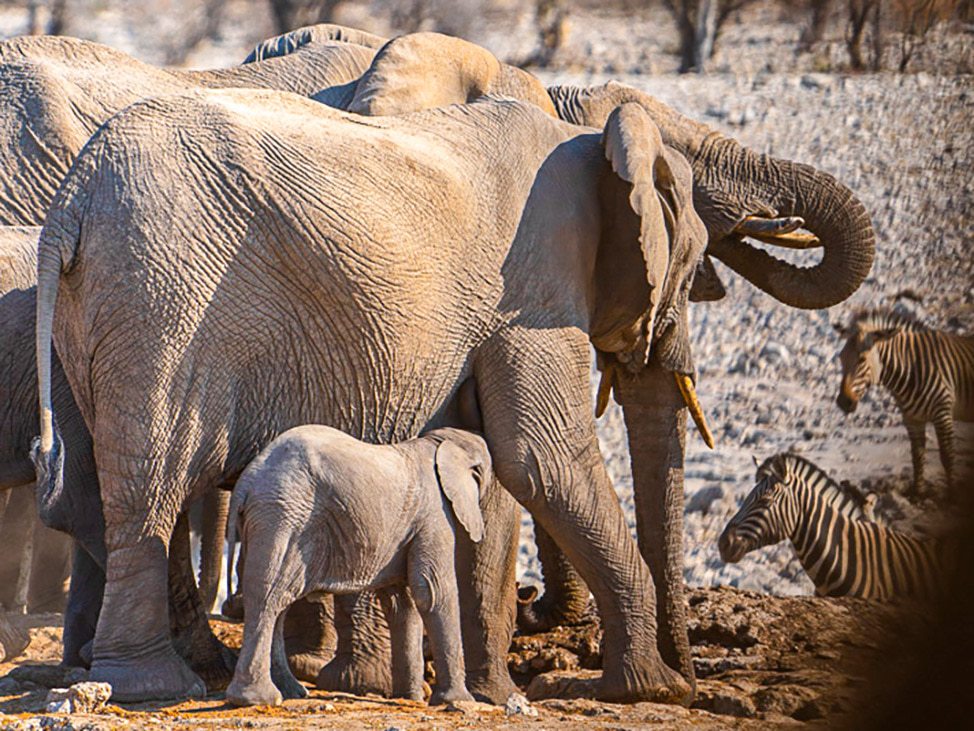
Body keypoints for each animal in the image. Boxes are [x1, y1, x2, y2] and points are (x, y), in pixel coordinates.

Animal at [225, 425, 491, 707]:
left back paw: (290, 692)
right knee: (269, 596)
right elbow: (432, 592)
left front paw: (410, 698)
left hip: (272, 520)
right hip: (282, 517)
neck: (437, 442)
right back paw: (259, 699)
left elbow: (401, 604)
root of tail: (245, 484)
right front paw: (458, 701)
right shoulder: (435, 515)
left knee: (278, 599)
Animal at [834, 309, 974, 497]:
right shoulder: (912, 419)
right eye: (841, 358)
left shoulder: (943, 412)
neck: (911, 368)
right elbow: (917, 456)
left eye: (862, 359)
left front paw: (953, 495)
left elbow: (947, 455)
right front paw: (918, 494)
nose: (843, 402)